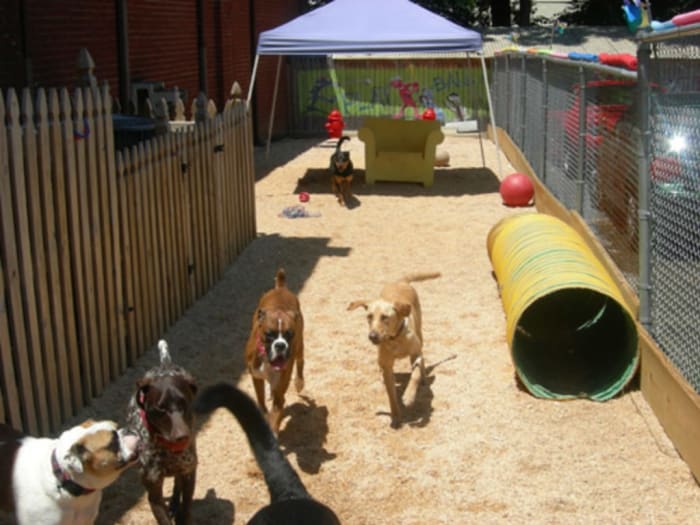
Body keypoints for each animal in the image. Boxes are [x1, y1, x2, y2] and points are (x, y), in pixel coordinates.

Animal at [124, 338, 197, 520]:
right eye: (160, 408)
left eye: (184, 403)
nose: (182, 437)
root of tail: (164, 366)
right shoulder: (154, 493)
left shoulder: (189, 475)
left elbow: (185, 512)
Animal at [243, 268, 304, 432]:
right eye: (269, 334)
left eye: (289, 334)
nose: (280, 345)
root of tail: (280, 288)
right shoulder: (256, 377)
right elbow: (262, 404)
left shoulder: (279, 394)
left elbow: (275, 414)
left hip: (299, 345)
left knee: (300, 361)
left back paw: (299, 382)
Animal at [348, 272, 440, 428]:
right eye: (369, 316)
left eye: (385, 317)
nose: (372, 336)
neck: (395, 339)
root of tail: (400, 281)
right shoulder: (387, 367)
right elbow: (391, 394)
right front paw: (396, 416)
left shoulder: (416, 354)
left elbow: (415, 374)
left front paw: (409, 396)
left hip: (420, 333)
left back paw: (423, 380)